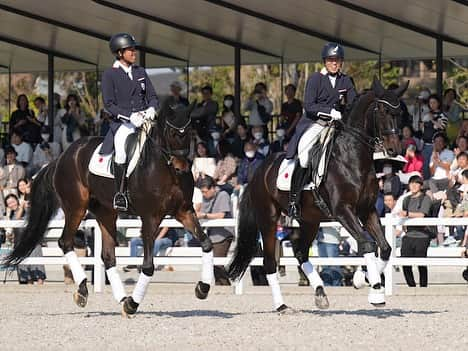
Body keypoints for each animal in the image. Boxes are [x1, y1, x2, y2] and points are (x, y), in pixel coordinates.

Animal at [2, 102, 215, 320]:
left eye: (190, 131)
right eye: (171, 132)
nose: (182, 168)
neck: (165, 169)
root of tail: (63, 156)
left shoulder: (184, 211)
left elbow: (207, 243)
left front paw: (203, 287)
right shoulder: (150, 218)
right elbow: (148, 266)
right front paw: (133, 304)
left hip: (106, 212)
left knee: (107, 256)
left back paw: (121, 299)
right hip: (76, 207)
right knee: (66, 242)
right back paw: (84, 291)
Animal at [229, 77, 408, 314]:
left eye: (400, 113)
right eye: (382, 110)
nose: (394, 149)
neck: (353, 159)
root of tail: (258, 170)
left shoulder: (367, 211)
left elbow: (385, 248)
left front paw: (363, 280)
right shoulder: (343, 211)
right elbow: (368, 244)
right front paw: (375, 292)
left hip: (310, 220)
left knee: (300, 252)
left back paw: (320, 292)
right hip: (268, 219)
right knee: (269, 262)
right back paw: (282, 305)